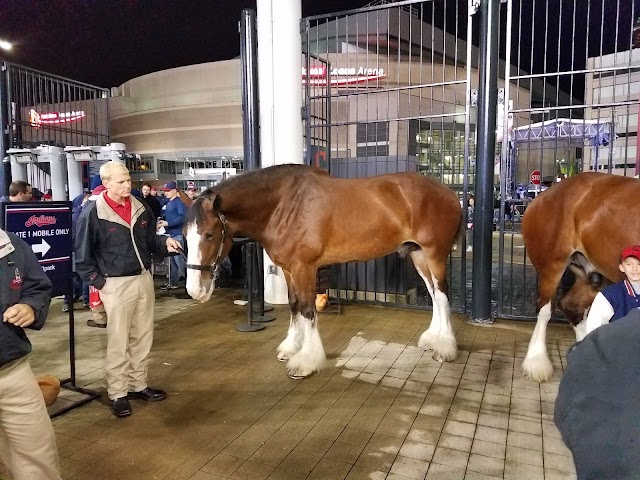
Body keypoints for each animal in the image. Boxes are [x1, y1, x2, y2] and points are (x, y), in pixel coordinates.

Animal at [182, 165, 462, 378]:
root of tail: (449, 193)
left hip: (434, 253)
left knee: (442, 294)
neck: (283, 206)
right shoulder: (289, 269)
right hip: (418, 254)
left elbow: (308, 309)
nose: (195, 290)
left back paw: (445, 348)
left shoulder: (304, 267)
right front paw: (290, 347)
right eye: (185, 234)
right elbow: (294, 304)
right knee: (434, 294)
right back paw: (433, 339)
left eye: (209, 234)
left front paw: (306, 360)